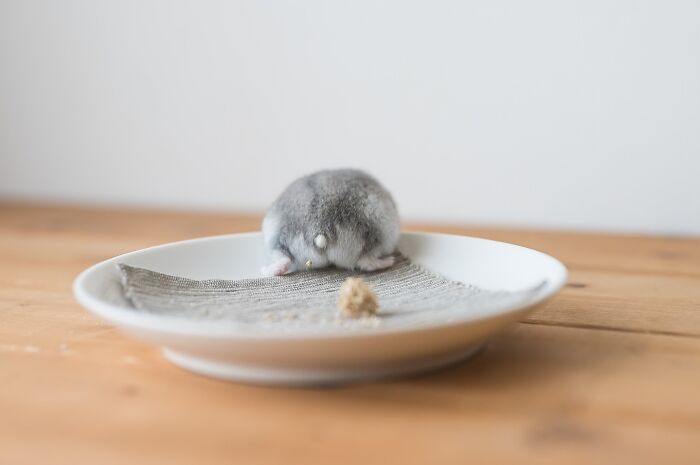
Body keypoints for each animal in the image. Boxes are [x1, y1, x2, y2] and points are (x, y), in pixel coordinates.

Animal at [261, 169, 400, 276]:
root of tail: (319, 226)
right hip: (376, 238)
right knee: (365, 262)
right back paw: (389, 261)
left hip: (276, 237)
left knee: (284, 258)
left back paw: (265, 271)